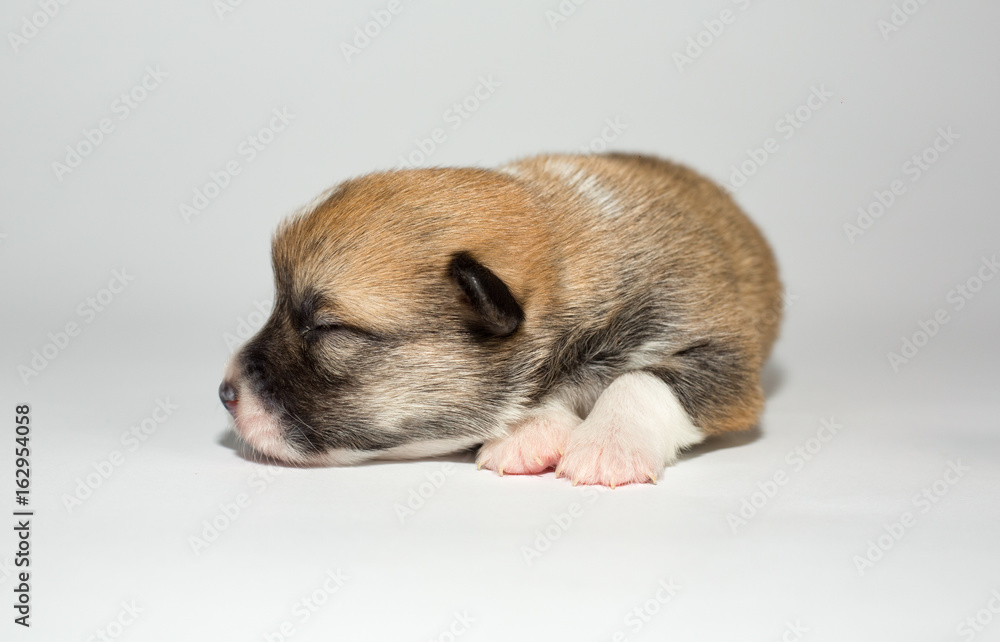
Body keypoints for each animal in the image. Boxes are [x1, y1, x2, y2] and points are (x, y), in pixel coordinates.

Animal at [221, 154, 780, 484]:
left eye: (328, 329)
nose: (225, 393)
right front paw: (529, 432)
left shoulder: (724, 358)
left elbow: (641, 379)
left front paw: (606, 445)